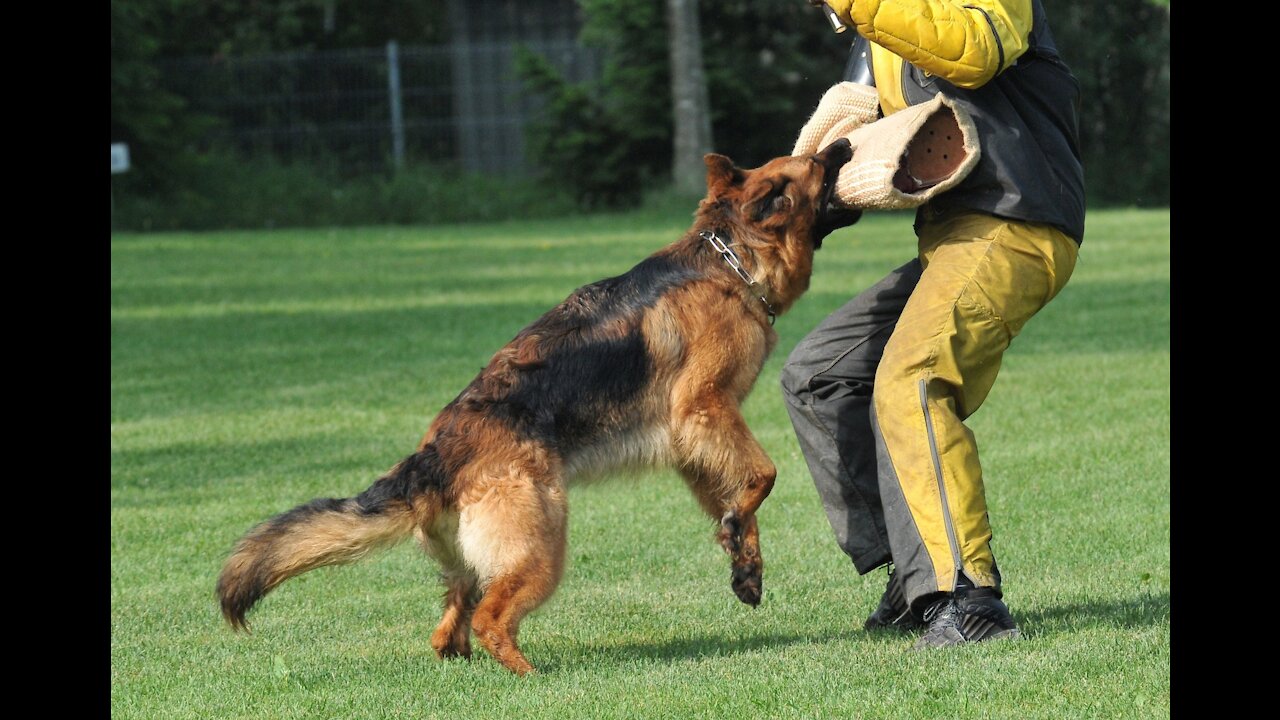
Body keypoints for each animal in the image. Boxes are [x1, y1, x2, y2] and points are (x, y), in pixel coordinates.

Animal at [217, 135, 860, 671]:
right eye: (815, 163)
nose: (847, 142)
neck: (730, 257)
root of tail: (432, 459)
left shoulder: (693, 441)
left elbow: (736, 502)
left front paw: (742, 560)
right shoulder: (704, 409)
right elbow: (764, 475)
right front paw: (740, 529)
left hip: (480, 560)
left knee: (449, 625)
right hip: (541, 546)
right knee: (490, 619)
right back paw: (528, 677)